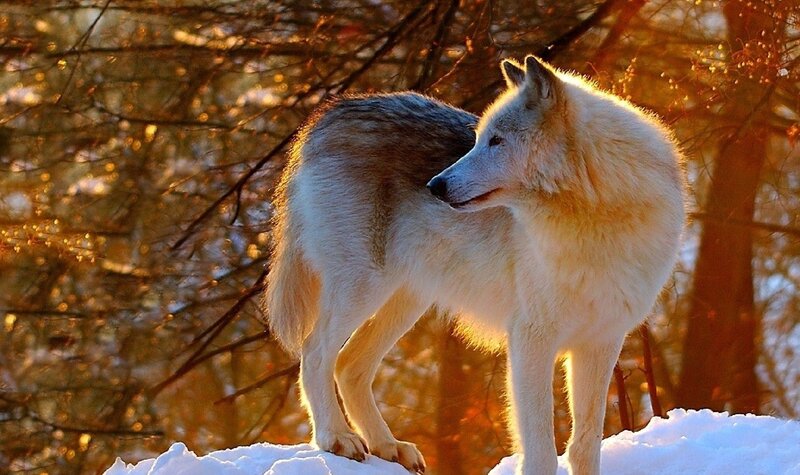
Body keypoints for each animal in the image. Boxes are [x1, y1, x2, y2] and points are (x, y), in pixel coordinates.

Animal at [262, 55, 685, 475]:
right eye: (479, 138)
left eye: (496, 141)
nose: (434, 186)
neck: (595, 217)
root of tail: (329, 114)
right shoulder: (531, 339)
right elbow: (542, 450)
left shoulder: (600, 343)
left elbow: (584, 445)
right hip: (363, 289)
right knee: (315, 353)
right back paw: (336, 438)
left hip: (405, 301)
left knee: (348, 366)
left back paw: (388, 446)